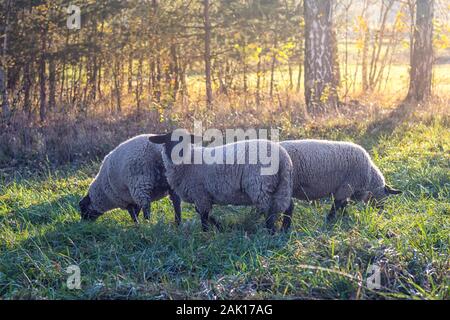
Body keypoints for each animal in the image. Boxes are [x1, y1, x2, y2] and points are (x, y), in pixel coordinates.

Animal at [149, 131, 294, 234]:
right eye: (168, 141)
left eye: (186, 141)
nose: (179, 153)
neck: (189, 161)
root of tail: (283, 157)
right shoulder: (203, 196)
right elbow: (204, 213)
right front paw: (220, 227)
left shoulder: (200, 193)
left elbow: (203, 216)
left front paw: (205, 233)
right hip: (282, 184)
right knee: (289, 206)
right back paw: (284, 229)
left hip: (260, 185)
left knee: (269, 210)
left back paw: (271, 232)